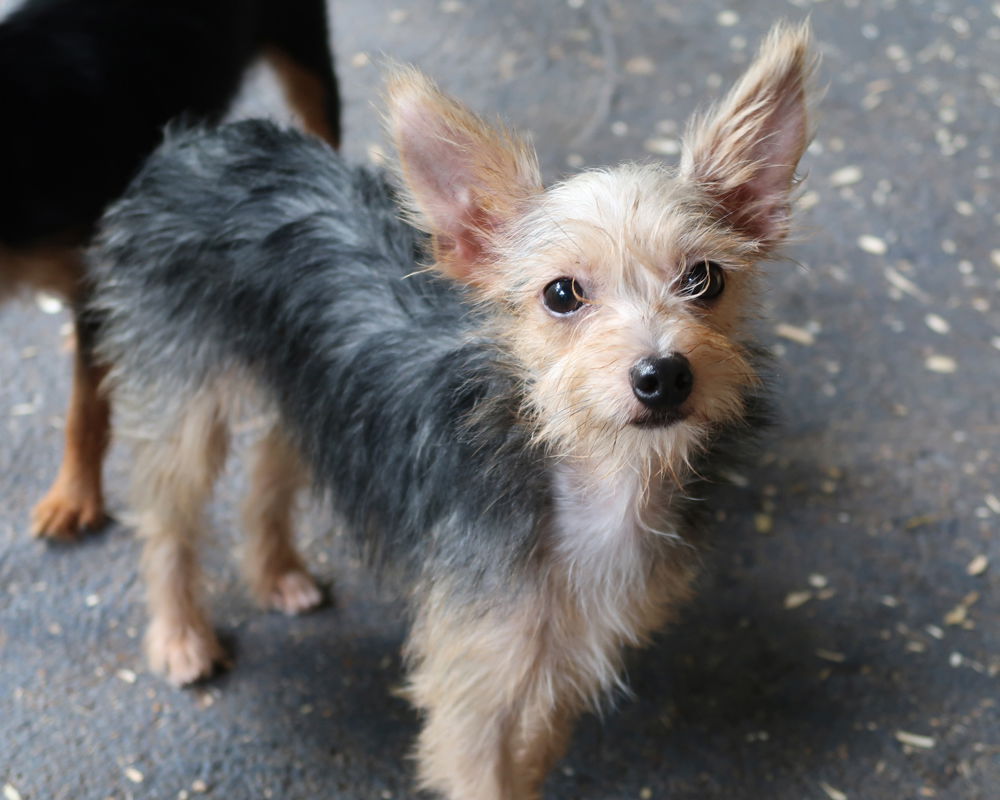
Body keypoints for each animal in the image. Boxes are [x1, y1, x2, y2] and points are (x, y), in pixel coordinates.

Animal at [92, 23, 812, 800]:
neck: (585, 478)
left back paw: (276, 569)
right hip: (182, 408)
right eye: (562, 294)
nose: (664, 375)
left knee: (272, 458)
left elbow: (529, 760)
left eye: (704, 279)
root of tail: (200, 141)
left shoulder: (559, 662)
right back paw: (180, 636)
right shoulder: (471, 691)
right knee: (166, 519)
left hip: (304, 380)